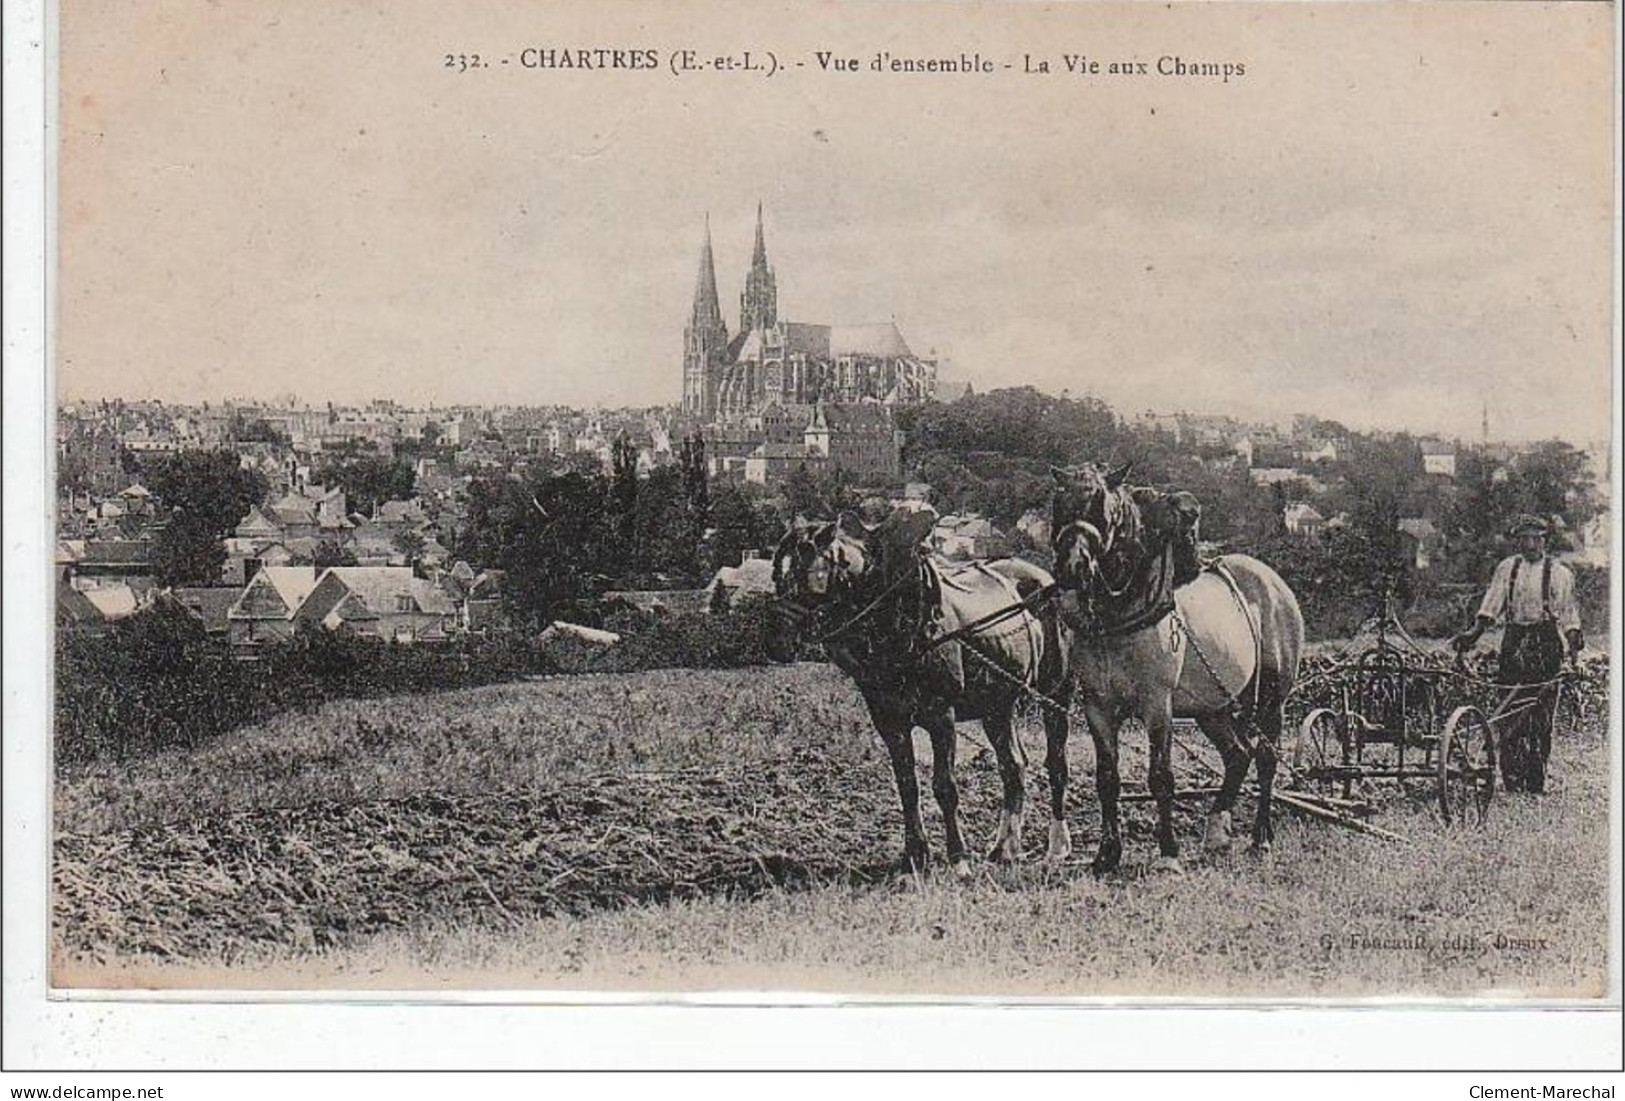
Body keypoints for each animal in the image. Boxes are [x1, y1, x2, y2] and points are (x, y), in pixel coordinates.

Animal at [763, 509, 1072, 876]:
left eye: (807, 575)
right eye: (777, 573)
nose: (776, 640)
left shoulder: (942, 717)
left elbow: (945, 787)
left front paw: (958, 859)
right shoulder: (889, 721)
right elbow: (907, 786)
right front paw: (915, 854)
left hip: (1056, 693)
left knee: (1056, 764)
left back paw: (1056, 847)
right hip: (997, 705)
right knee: (1013, 766)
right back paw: (1005, 848)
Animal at [1053, 461, 1306, 876]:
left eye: (1103, 509)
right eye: (1059, 505)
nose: (1073, 567)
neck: (1119, 615)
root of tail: (1273, 583)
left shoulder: (1158, 705)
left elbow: (1161, 777)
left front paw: (1168, 853)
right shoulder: (1097, 706)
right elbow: (1107, 779)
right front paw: (1107, 854)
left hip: (1272, 699)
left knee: (1265, 758)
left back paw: (1260, 838)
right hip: (1213, 708)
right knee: (1238, 755)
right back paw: (1217, 832)